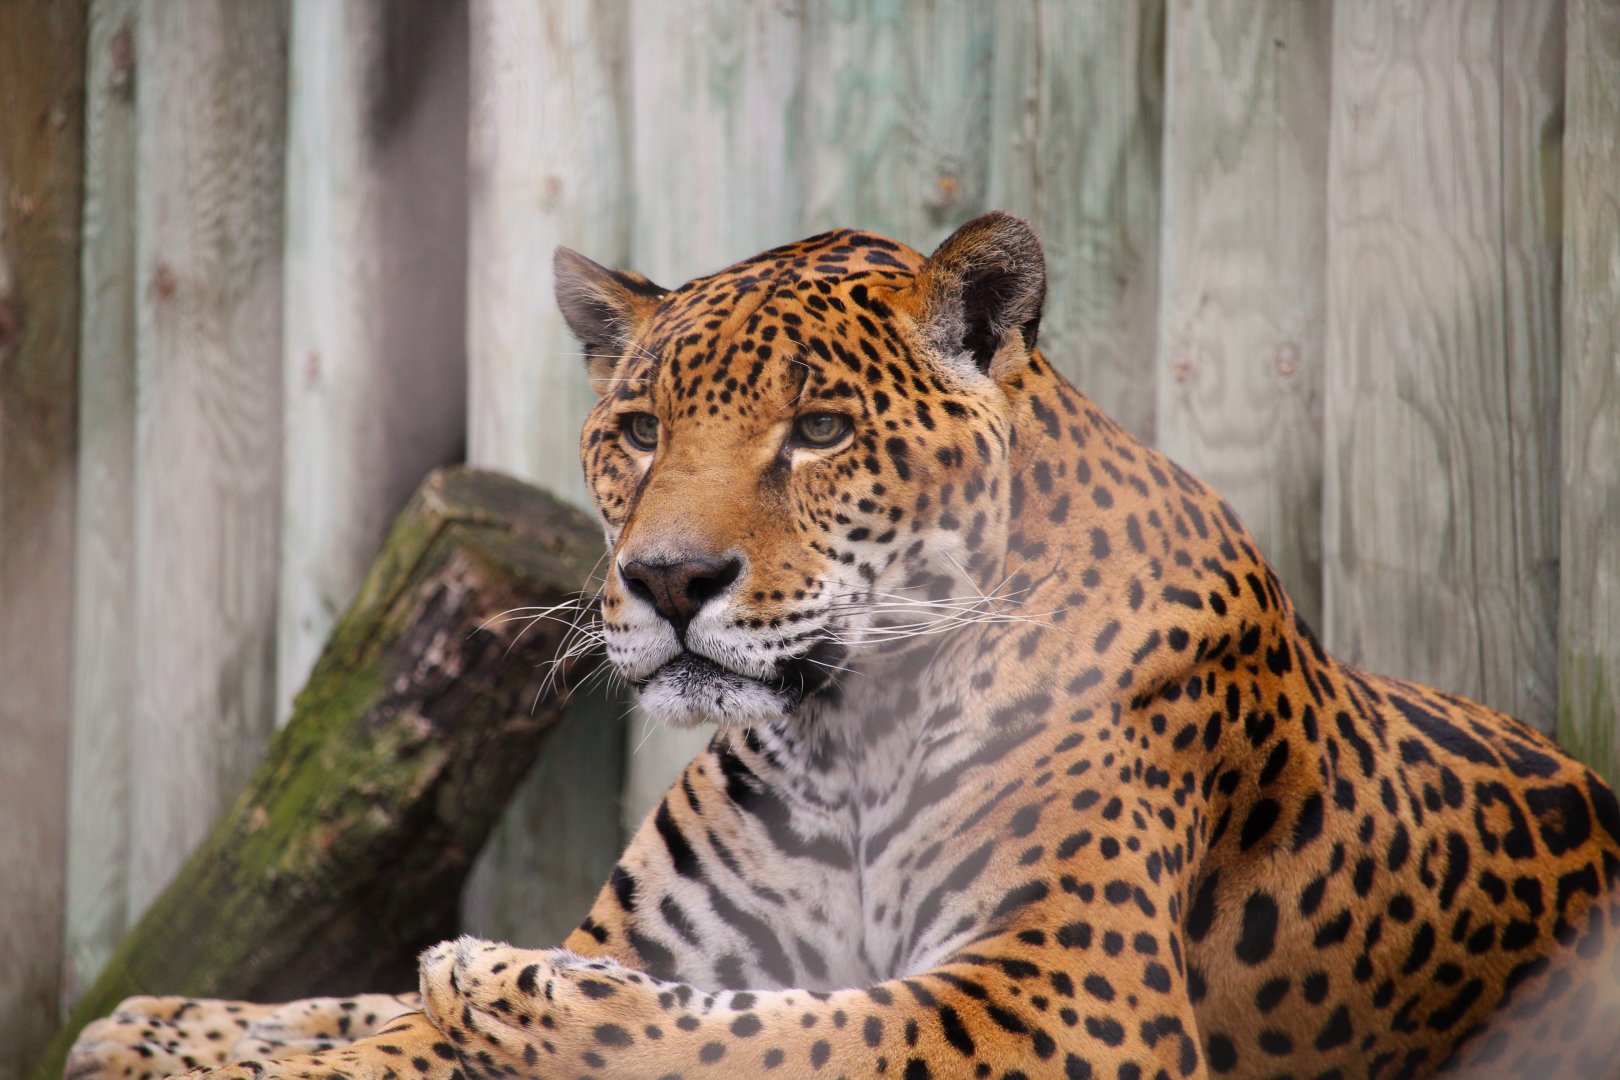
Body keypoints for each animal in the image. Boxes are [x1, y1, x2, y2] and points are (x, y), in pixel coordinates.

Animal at [70, 213, 1620, 1080]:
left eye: (818, 430)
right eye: (639, 431)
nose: (668, 579)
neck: (845, 738)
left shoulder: (1063, 999)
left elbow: (779, 1032)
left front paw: (510, 993)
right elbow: (396, 1040)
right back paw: (145, 1027)